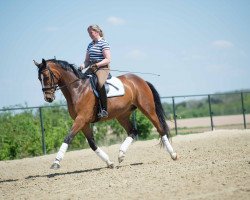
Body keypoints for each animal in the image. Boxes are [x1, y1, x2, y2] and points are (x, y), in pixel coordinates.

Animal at [33, 58, 178, 169]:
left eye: (46, 77)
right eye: (39, 78)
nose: (48, 98)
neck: (78, 89)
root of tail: (140, 80)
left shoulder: (81, 119)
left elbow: (68, 138)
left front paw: (56, 162)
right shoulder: (84, 122)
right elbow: (92, 143)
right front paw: (109, 162)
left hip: (147, 109)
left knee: (160, 129)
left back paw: (173, 154)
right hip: (122, 115)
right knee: (133, 131)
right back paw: (121, 154)